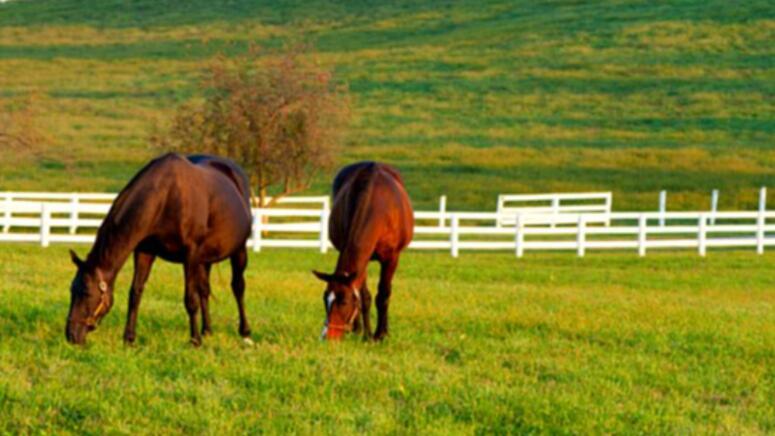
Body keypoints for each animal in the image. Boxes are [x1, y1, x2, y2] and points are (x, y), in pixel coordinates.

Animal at [66, 153, 253, 348]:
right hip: (205, 260)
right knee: (205, 290)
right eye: (72, 290)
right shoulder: (145, 252)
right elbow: (135, 293)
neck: (166, 197)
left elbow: (190, 299)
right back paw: (207, 330)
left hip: (239, 250)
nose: (71, 335)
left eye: (86, 293)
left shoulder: (190, 255)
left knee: (238, 286)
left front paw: (195, 340)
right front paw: (129, 338)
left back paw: (245, 333)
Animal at [312, 160, 416, 340]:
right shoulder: (363, 261)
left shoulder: (391, 258)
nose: (327, 336)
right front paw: (365, 334)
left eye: (344, 302)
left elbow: (383, 294)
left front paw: (380, 334)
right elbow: (364, 297)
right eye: (325, 299)